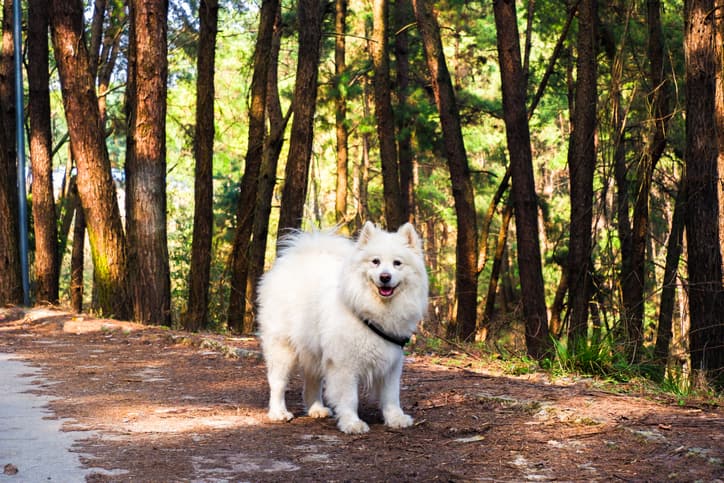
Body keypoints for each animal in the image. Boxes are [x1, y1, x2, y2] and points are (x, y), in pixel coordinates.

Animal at [258, 223, 430, 434]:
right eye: (375, 262)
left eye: (397, 263)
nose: (385, 277)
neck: (373, 311)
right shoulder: (344, 365)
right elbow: (349, 398)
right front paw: (352, 423)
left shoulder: (392, 362)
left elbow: (391, 395)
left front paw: (395, 418)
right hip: (282, 348)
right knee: (277, 383)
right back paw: (279, 413)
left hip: (313, 350)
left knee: (312, 382)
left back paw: (316, 409)